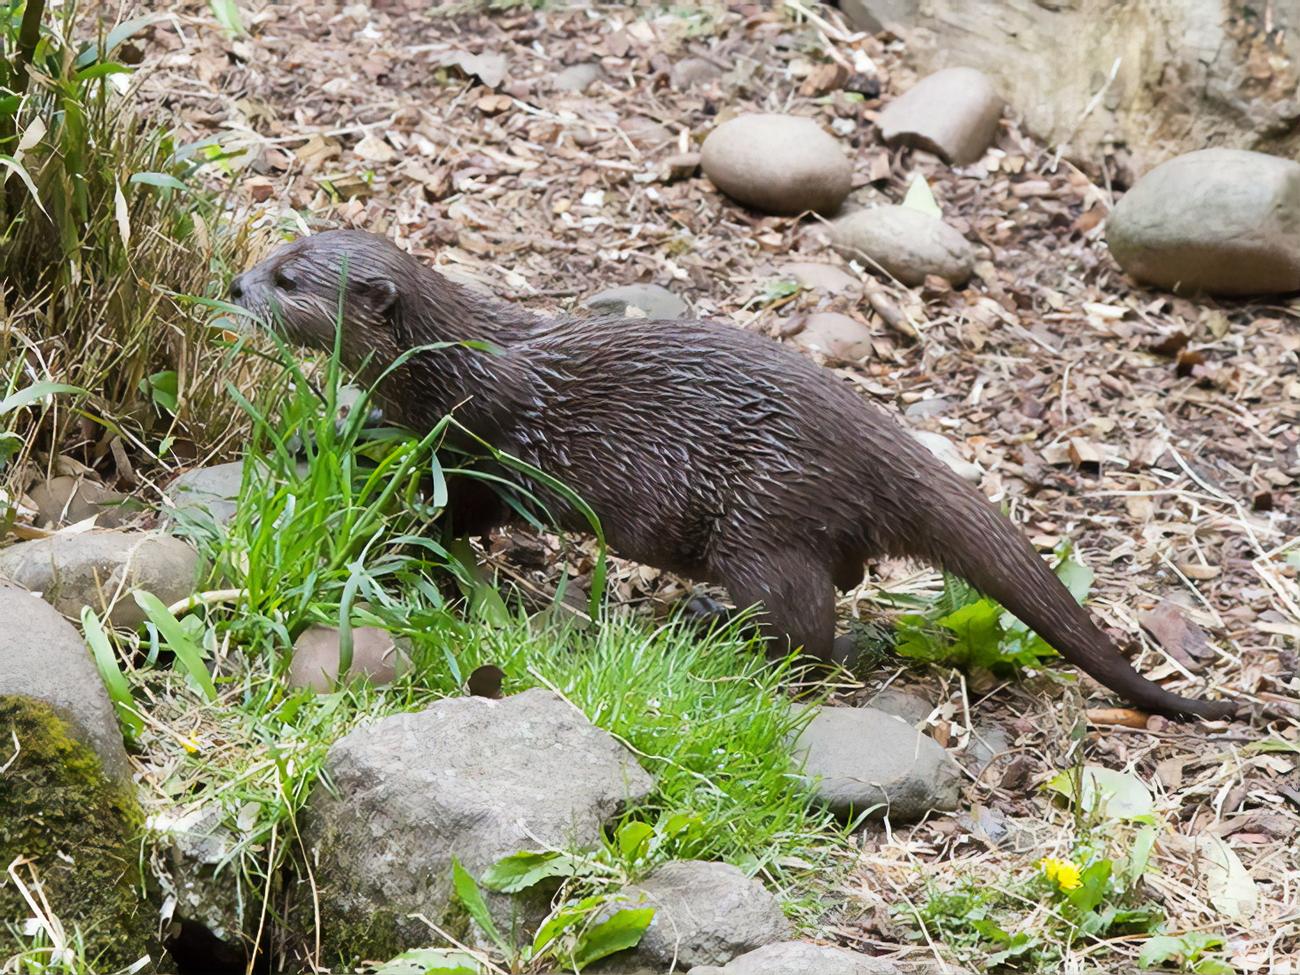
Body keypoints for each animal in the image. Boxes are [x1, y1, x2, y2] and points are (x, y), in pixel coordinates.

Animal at [233, 227, 1237, 717]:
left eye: (289, 280)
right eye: (272, 253)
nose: (238, 286)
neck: (453, 366)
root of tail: (875, 436)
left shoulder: (480, 444)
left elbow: (461, 515)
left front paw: (408, 536)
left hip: (764, 521)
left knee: (812, 634)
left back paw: (716, 628)